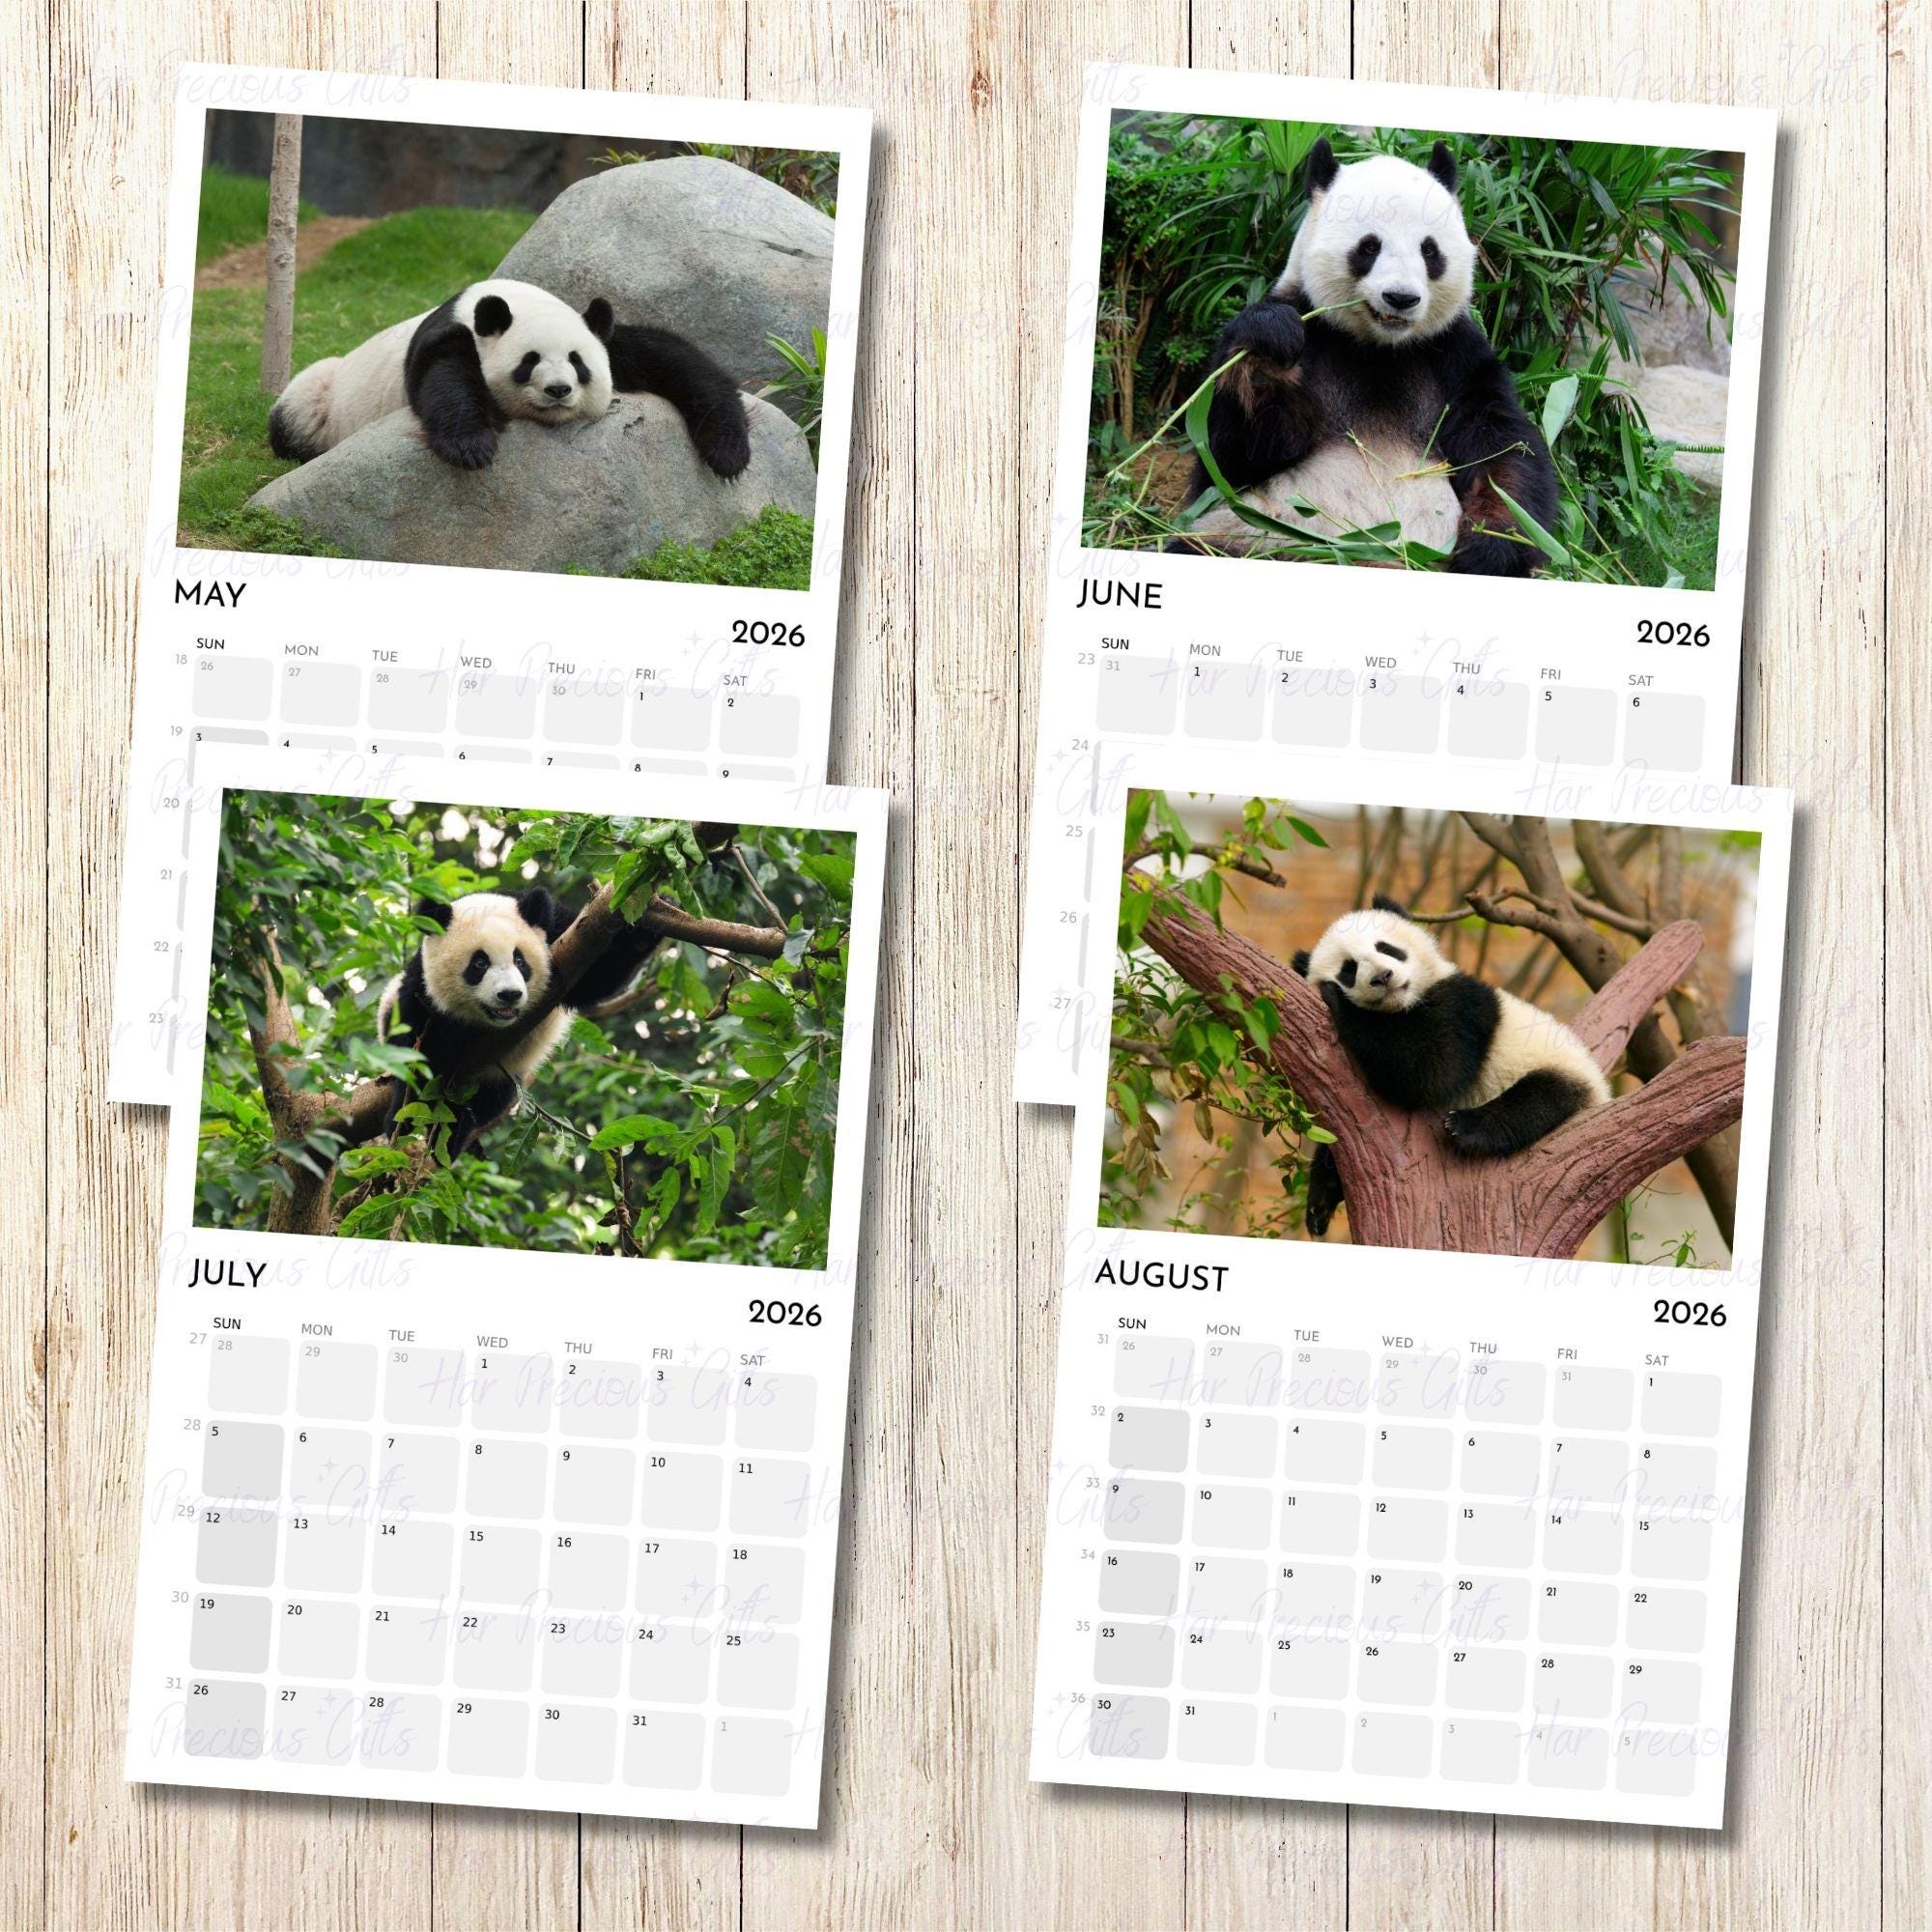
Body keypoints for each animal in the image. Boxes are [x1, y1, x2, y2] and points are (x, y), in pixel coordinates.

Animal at [268, 277, 751, 479]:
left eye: (578, 362)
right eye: (529, 361)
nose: (558, 390)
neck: (512, 300)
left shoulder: (605, 337)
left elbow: (680, 363)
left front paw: (728, 453)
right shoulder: (452, 336)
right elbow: (444, 380)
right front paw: (472, 446)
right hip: (325, 396)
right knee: (297, 412)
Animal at [373, 887, 664, 1159]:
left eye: (519, 960)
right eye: (479, 963)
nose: (509, 994)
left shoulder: (560, 935)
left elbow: (596, 976)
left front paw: (649, 923)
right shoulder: (422, 989)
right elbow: (416, 1052)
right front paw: (404, 1117)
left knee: (491, 1100)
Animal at [1174, 139, 1557, 575]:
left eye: (1429, 250)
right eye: (1370, 246)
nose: (1401, 298)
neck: (1378, 348)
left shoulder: (1455, 355)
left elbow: (1502, 449)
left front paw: (1490, 546)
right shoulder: (1313, 329)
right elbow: (1230, 459)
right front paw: (1268, 348)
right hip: (1253, 537)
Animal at [1290, 896, 1611, 1237]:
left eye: (1386, 948)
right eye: (1349, 969)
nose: (1383, 976)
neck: (1402, 1005)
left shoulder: (1462, 1007)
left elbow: (1433, 1070)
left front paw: (1339, 1001)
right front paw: (1320, 1199)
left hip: (1558, 1067)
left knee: (1537, 1100)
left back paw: (1465, 1126)